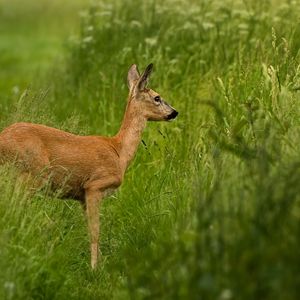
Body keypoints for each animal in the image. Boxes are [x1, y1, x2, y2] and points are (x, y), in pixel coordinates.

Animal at [0, 62, 178, 268]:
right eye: (157, 97)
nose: (174, 112)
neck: (119, 152)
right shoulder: (94, 185)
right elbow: (95, 231)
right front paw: (95, 268)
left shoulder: (81, 197)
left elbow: (89, 229)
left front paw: (99, 262)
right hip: (29, 176)